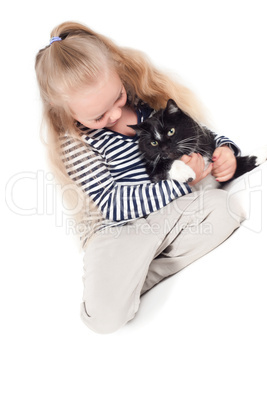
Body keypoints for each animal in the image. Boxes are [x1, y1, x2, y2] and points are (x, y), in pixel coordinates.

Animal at [130, 99, 267, 189]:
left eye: (171, 131)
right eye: (153, 143)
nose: (164, 148)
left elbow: (237, 164)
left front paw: (260, 155)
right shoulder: (151, 170)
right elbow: (162, 167)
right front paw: (185, 172)